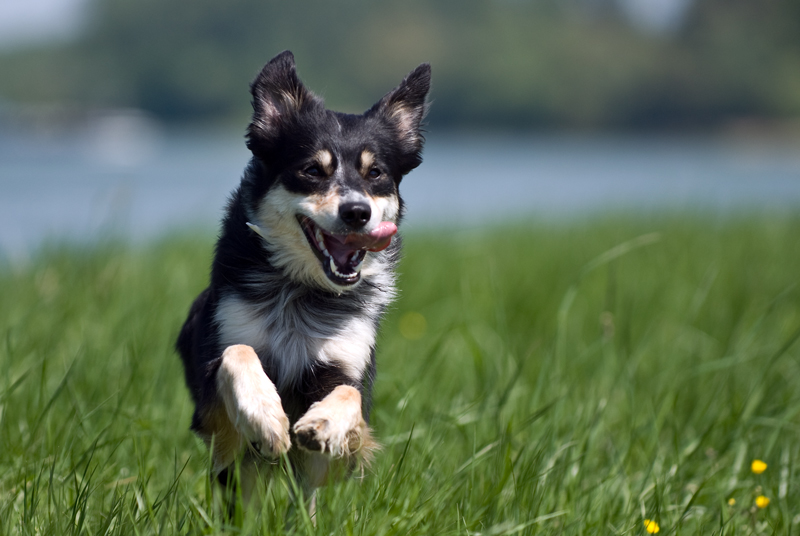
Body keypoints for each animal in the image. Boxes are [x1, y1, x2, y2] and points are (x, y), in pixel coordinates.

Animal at [177, 49, 432, 502]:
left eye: (376, 173)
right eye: (313, 170)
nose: (357, 212)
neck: (302, 289)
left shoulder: (347, 368)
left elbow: (349, 393)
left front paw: (324, 422)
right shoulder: (212, 405)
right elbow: (236, 354)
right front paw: (266, 416)